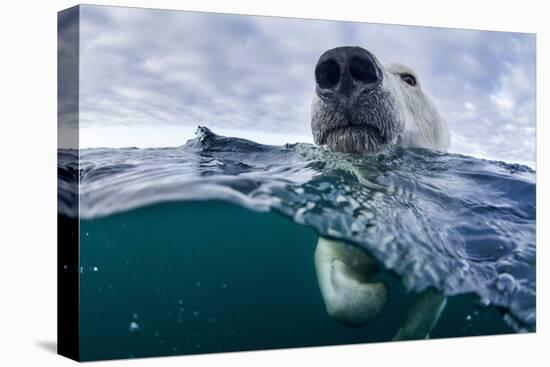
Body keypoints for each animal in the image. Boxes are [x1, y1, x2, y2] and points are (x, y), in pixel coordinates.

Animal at [312, 46, 450, 342]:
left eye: (409, 78)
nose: (344, 64)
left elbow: (426, 308)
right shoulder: (342, 219)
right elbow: (338, 287)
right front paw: (376, 292)